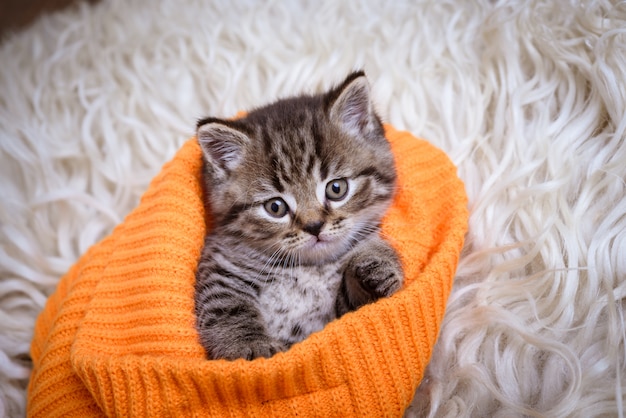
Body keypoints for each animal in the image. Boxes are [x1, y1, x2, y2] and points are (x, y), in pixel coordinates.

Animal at [193, 71, 402, 360]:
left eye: (336, 188)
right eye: (275, 207)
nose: (314, 226)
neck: (310, 267)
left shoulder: (334, 321)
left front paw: (375, 268)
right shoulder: (221, 265)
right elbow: (226, 307)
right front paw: (249, 347)